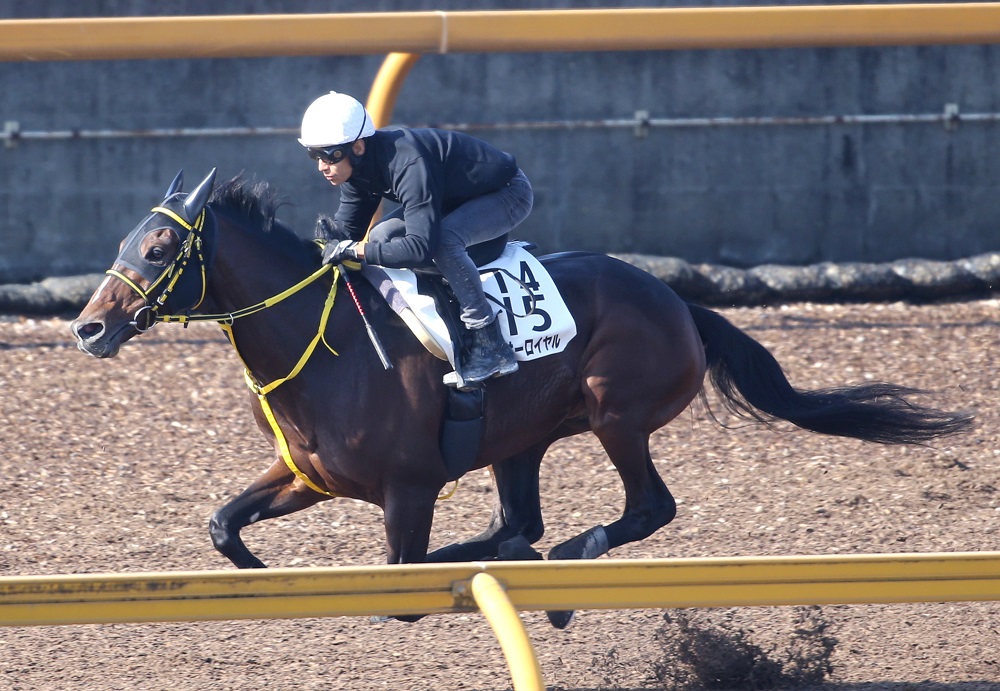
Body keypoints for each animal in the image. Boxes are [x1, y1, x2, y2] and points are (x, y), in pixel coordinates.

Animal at [72, 172, 976, 628]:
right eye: (123, 239)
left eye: (160, 245)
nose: (88, 326)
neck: (325, 344)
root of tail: (679, 299)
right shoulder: (309, 473)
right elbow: (222, 524)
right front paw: (260, 576)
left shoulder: (408, 489)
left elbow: (400, 582)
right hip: (519, 439)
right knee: (520, 521)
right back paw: (529, 557)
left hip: (616, 413)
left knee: (643, 508)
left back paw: (568, 571)